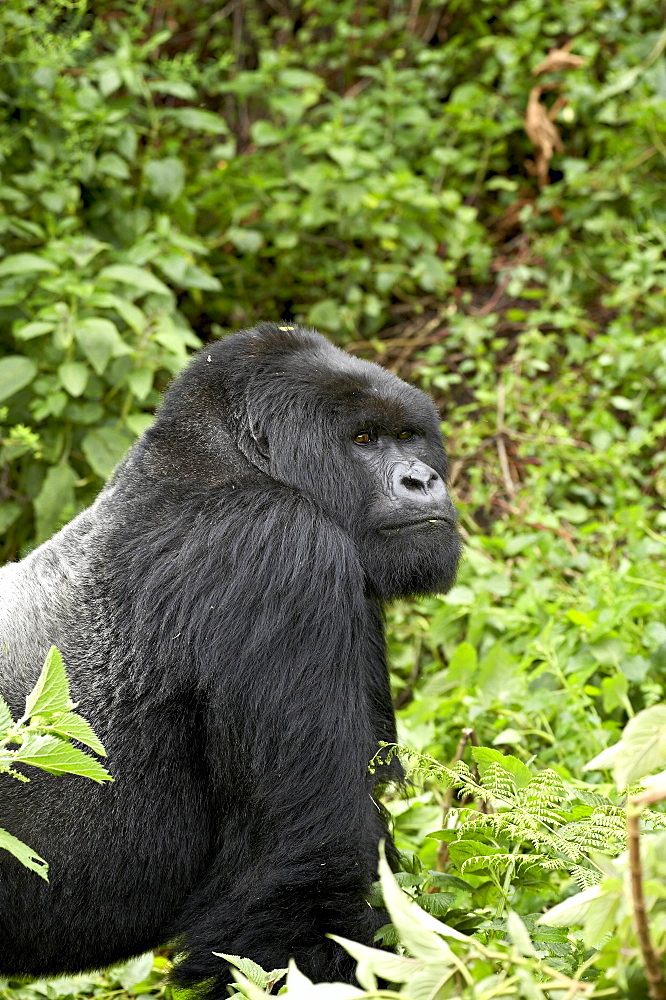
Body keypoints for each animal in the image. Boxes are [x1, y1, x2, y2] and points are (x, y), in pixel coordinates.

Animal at [0, 326, 460, 992]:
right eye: (364, 439)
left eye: (409, 436)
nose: (422, 481)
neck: (235, 457)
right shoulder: (283, 554)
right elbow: (305, 885)